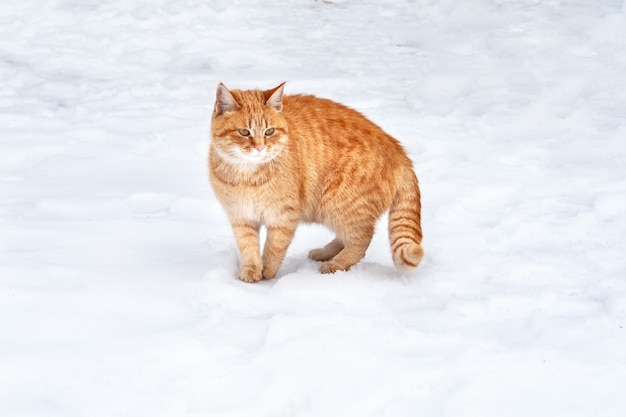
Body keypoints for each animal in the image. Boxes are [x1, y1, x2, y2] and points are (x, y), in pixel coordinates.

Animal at [207, 82, 422, 282]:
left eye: (269, 132)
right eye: (244, 132)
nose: (260, 148)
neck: (248, 175)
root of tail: (401, 153)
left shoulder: (284, 216)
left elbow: (274, 247)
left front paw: (267, 270)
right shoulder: (241, 217)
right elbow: (248, 247)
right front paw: (251, 269)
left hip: (338, 203)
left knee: (361, 240)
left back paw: (336, 264)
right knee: (347, 238)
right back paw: (324, 253)